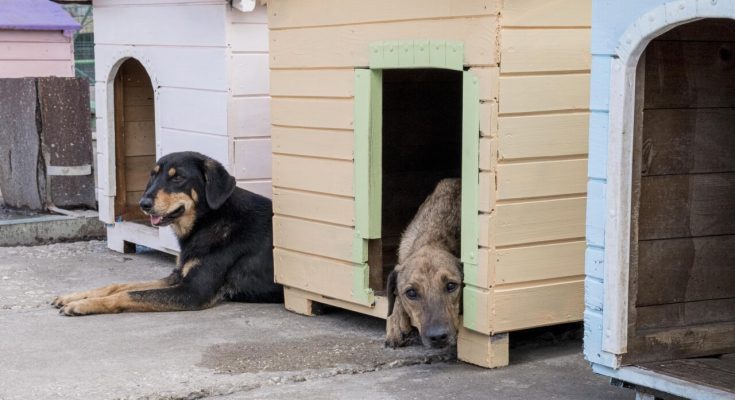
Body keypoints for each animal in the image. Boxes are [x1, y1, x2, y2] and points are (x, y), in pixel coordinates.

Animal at [51, 151, 282, 316]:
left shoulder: (194, 291)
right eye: (152, 175)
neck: (208, 220)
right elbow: (120, 285)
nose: (143, 203)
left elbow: (128, 293)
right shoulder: (177, 276)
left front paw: (83, 305)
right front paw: (76, 296)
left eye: (178, 177)